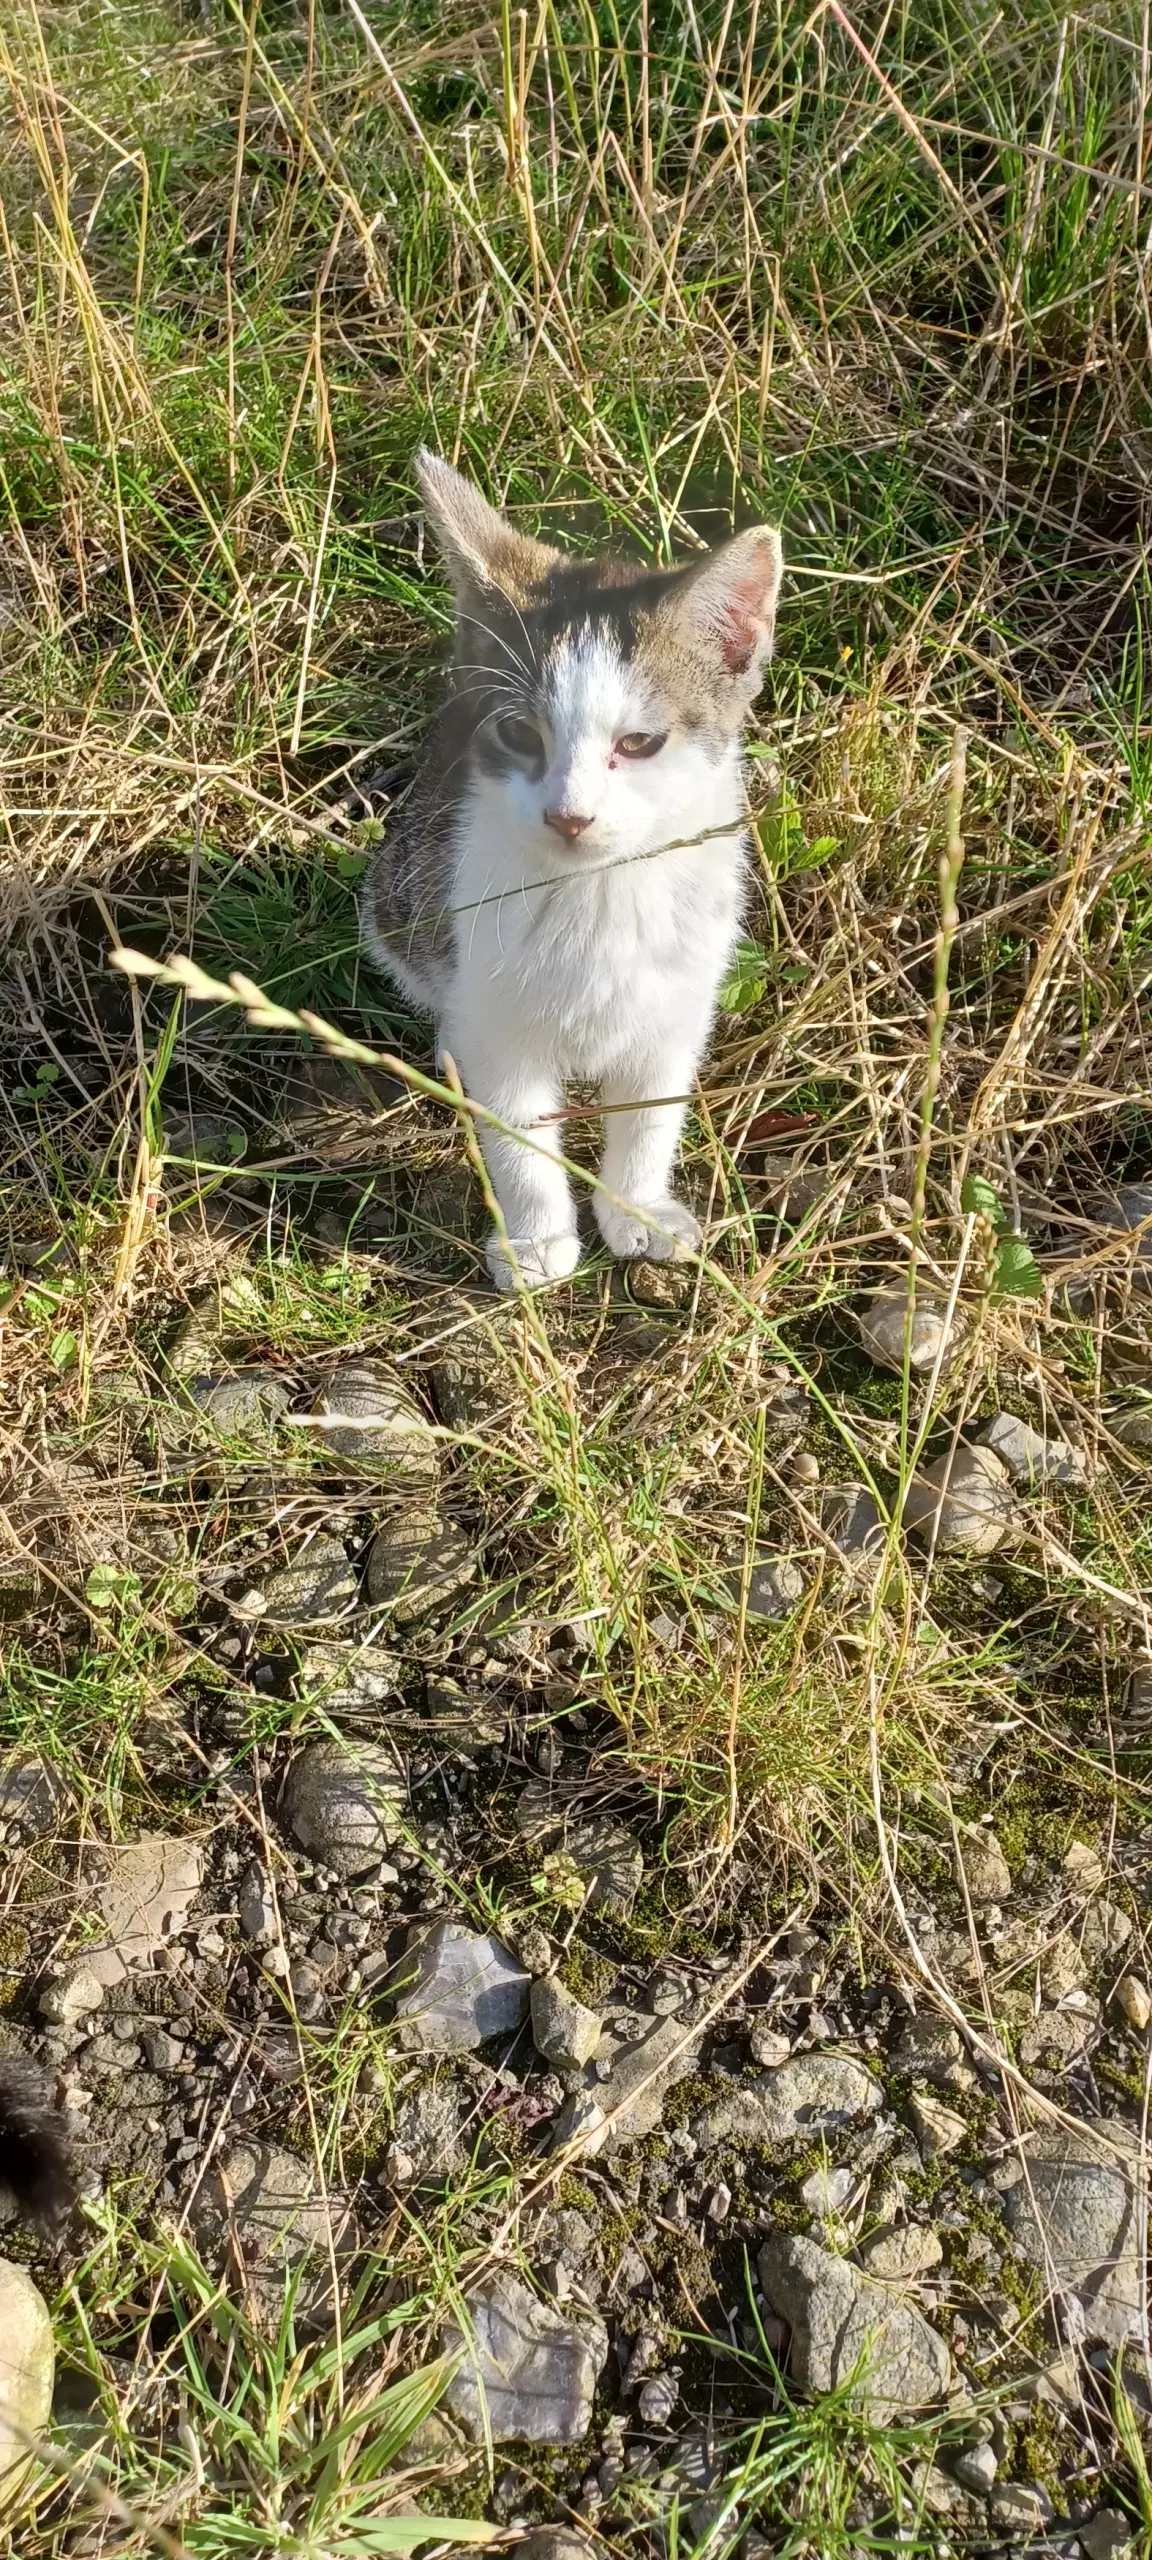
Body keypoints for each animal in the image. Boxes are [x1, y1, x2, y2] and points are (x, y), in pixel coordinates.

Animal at [363, 450, 788, 1290]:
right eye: (520, 734)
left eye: (641, 743)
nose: (571, 815)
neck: (601, 890)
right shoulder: (495, 1004)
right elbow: (518, 1128)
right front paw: (536, 1237)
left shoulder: (682, 998)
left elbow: (652, 1110)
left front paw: (638, 1206)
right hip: (398, 895)